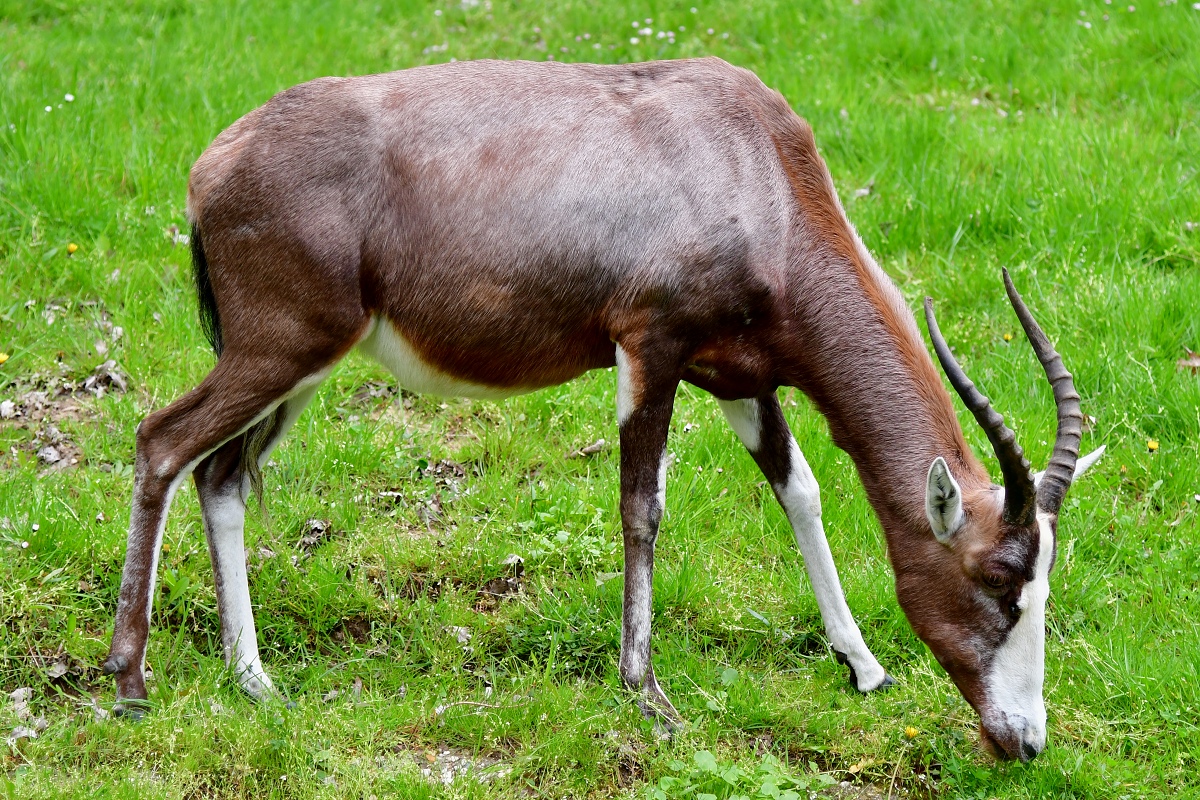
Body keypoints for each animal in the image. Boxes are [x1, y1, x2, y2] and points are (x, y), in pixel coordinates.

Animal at [103, 59, 1099, 762]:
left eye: (1048, 581)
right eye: (1001, 582)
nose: (1023, 742)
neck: (752, 163)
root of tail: (215, 164)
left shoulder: (739, 378)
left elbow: (801, 491)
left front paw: (864, 666)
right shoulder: (650, 349)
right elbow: (642, 508)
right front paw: (648, 693)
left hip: (300, 367)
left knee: (222, 476)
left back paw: (254, 680)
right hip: (280, 351)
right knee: (161, 442)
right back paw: (131, 679)